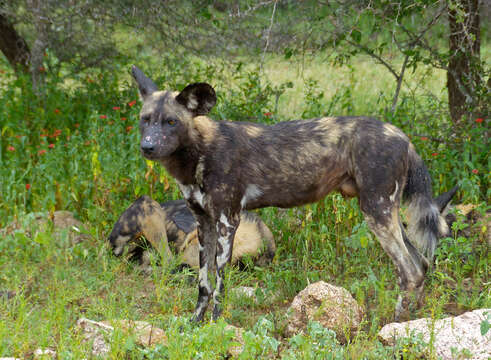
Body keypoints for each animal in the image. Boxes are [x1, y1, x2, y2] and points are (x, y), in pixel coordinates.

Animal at [130, 66, 458, 322]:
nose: (148, 147)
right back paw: (412, 318)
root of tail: (402, 136)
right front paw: (195, 323)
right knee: (422, 264)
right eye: (145, 119)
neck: (199, 151)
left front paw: (215, 325)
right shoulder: (204, 223)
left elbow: (220, 283)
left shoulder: (227, 221)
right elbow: (203, 284)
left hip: (376, 212)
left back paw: (394, 321)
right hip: (388, 216)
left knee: (410, 270)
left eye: (171, 122)